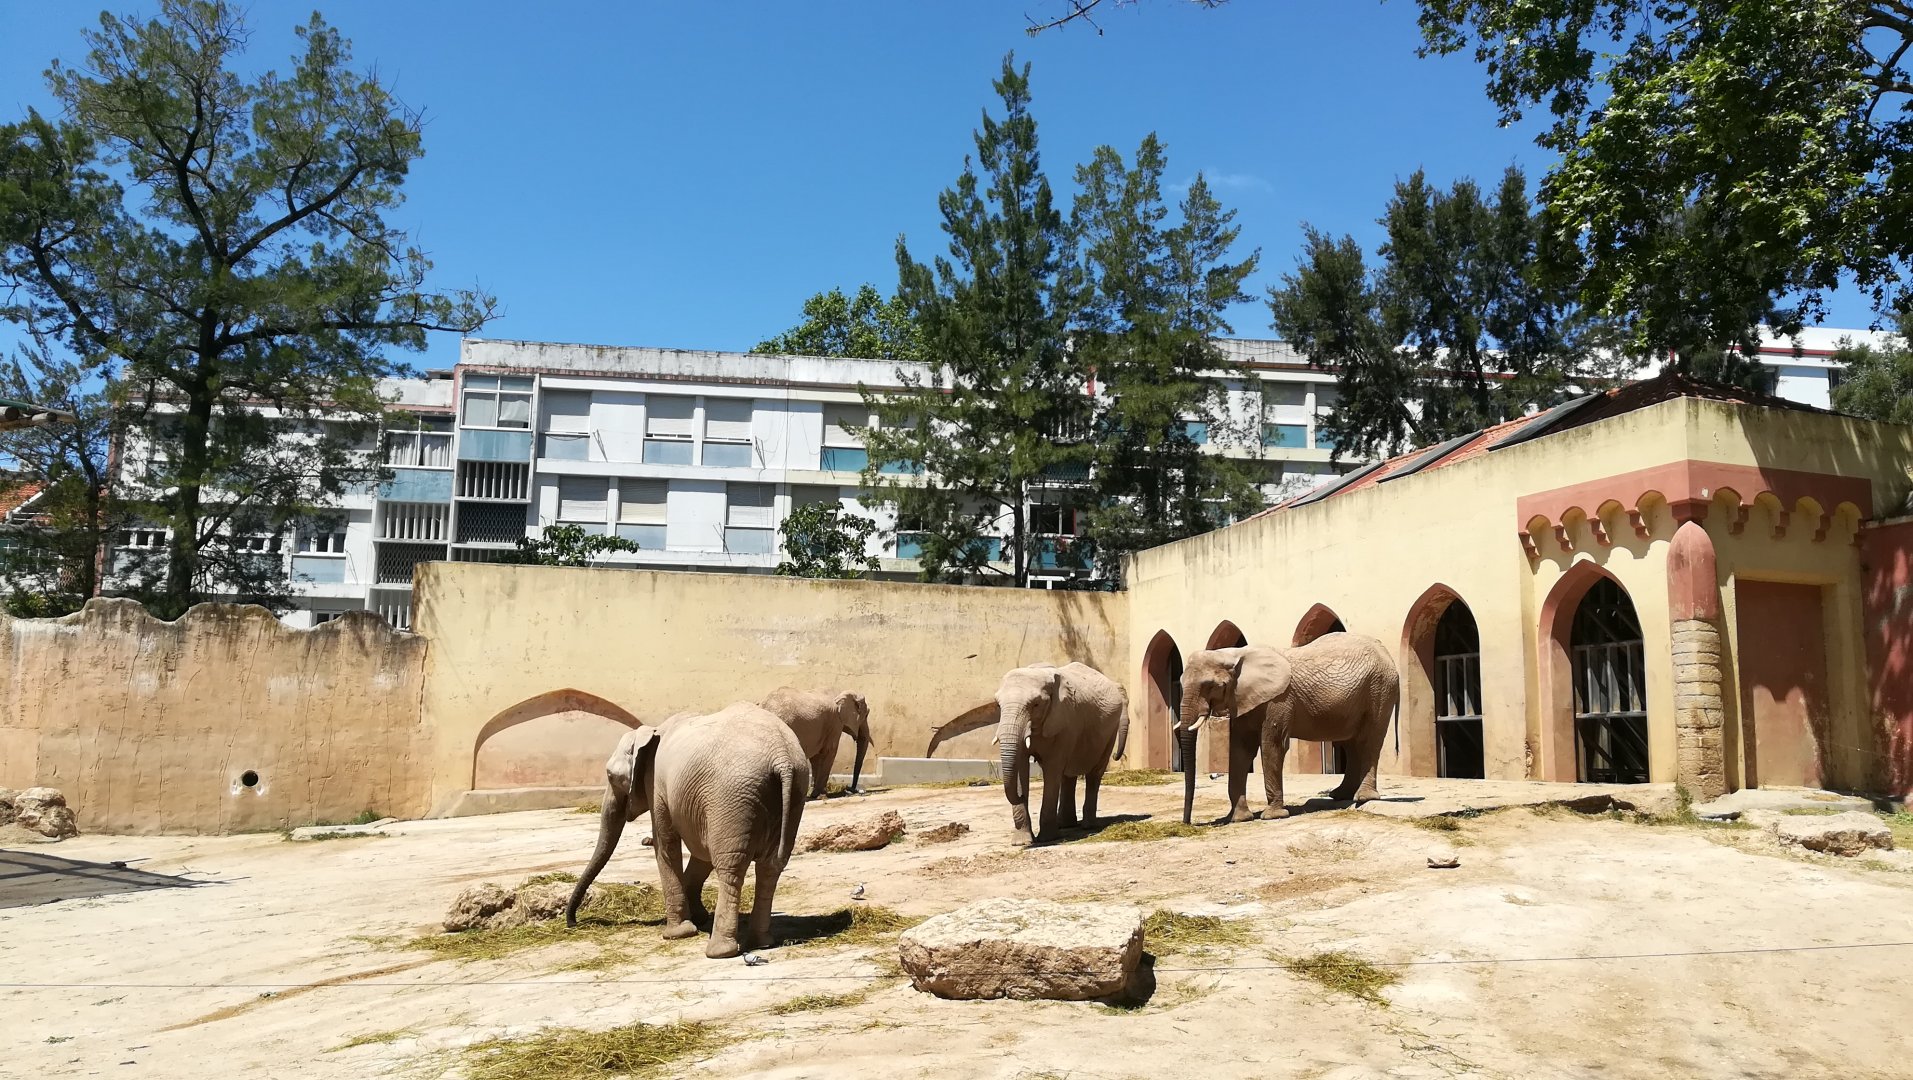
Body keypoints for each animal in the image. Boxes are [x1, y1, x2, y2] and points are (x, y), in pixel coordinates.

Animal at [565, 702, 809, 959]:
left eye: (610, 776)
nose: (573, 922)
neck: (651, 732)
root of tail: (782, 757)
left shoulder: (657, 785)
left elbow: (666, 843)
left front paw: (677, 934)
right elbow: (702, 850)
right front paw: (698, 918)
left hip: (733, 794)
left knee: (731, 866)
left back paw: (718, 951)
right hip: (794, 791)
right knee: (771, 866)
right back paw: (762, 943)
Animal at [927, 662, 1129, 846]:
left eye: (1036, 704)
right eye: (998, 705)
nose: (1021, 796)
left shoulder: (1064, 721)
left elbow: (1052, 769)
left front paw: (1047, 839)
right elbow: (1020, 766)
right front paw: (1021, 842)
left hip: (1109, 731)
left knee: (1094, 773)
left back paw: (1088, 826)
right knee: (1068, 776)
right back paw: (1065, 825)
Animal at [1177, 633, 1400, 826]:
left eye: (1210, 685)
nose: (1187, 823)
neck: (1235, 655)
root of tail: (1388, 654)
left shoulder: (1279, 700)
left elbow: (1272, 747)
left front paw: (1272, 816)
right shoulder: (1241, 699)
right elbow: (1240, 751)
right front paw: (1238, 819)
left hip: (1380, 688)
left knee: (1369, 741)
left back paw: (1363, 797)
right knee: (1350, 743)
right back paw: (1339, 795)